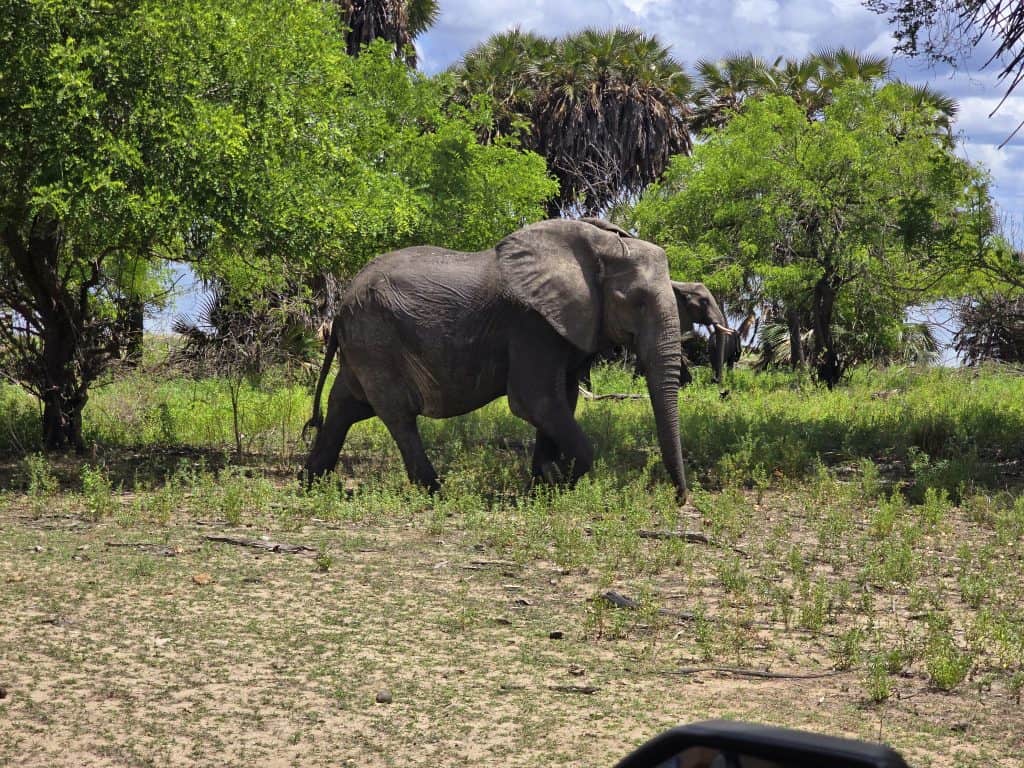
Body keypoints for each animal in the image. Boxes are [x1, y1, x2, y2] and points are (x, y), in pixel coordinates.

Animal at [303, 219, 688, 501]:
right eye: (636, 302)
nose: (681, 499)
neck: (599, 246)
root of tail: (341, 305)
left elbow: (562, 401)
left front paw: (541, 489)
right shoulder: (531, 324)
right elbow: (535, 402)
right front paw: (553, 482)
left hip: (364, 343)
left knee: (344, 407)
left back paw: (309, 485)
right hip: (376, 338)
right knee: (398, 415)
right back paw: (437, 494)